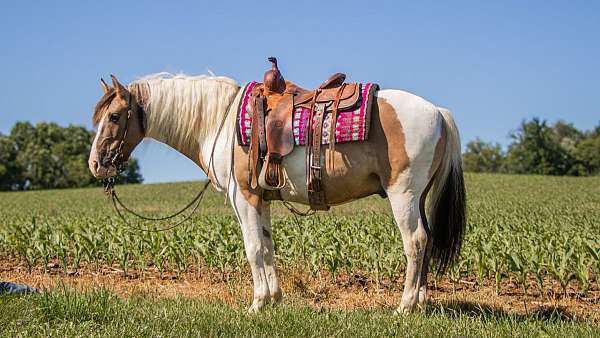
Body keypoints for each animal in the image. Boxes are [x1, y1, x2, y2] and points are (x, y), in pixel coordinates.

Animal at [89, 74, 466, 314]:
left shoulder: (243, 198)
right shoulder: (261, 200)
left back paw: (405, 306)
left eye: (115, 116)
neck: (221, 122)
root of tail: (438, 112)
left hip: (403, 194)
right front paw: (274, 299)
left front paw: (256, 304)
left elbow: (253, 248)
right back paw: (421, 301)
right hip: (418, 197)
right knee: (428, 239)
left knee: (415, 241)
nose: (95, 164)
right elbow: (268, 247)